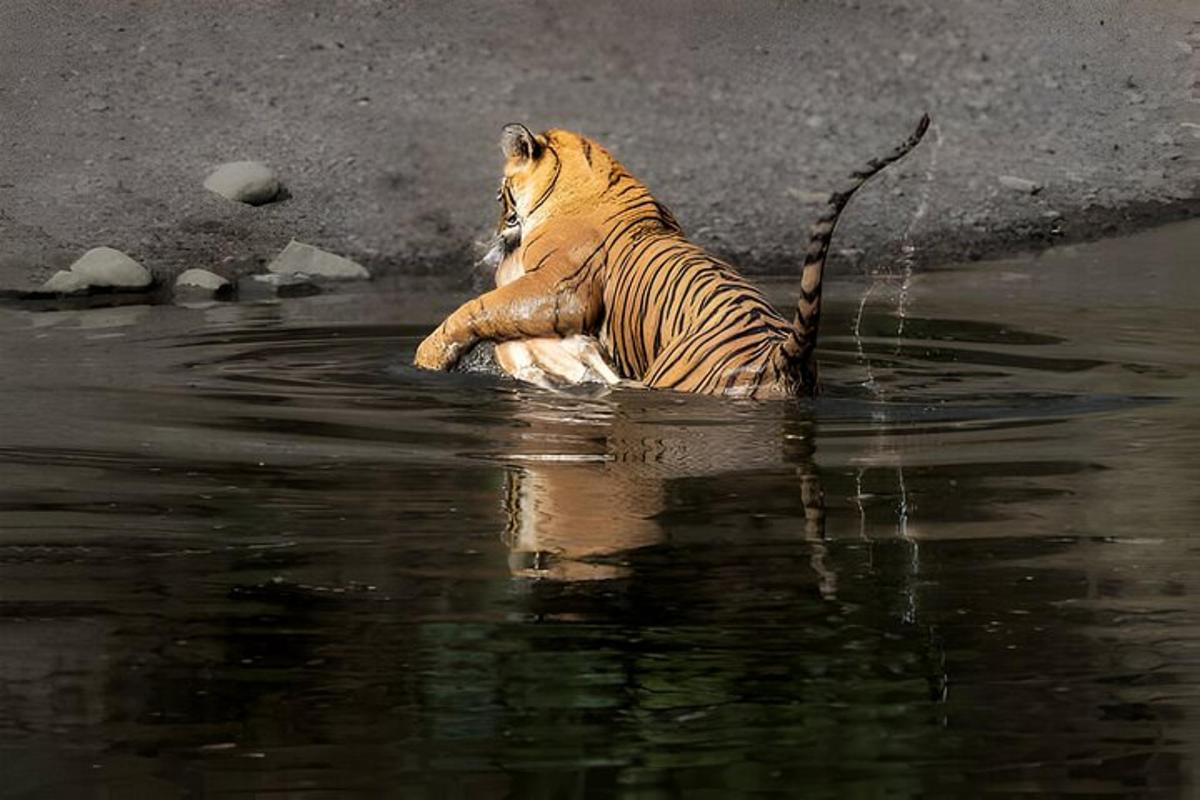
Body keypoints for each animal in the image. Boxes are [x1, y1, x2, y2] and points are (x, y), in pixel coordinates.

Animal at [412, 113, 926, 398]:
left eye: (499, 195)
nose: (498, 230)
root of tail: (784, 355)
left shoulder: (558, 291)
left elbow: (478, 308)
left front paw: (427, 359)